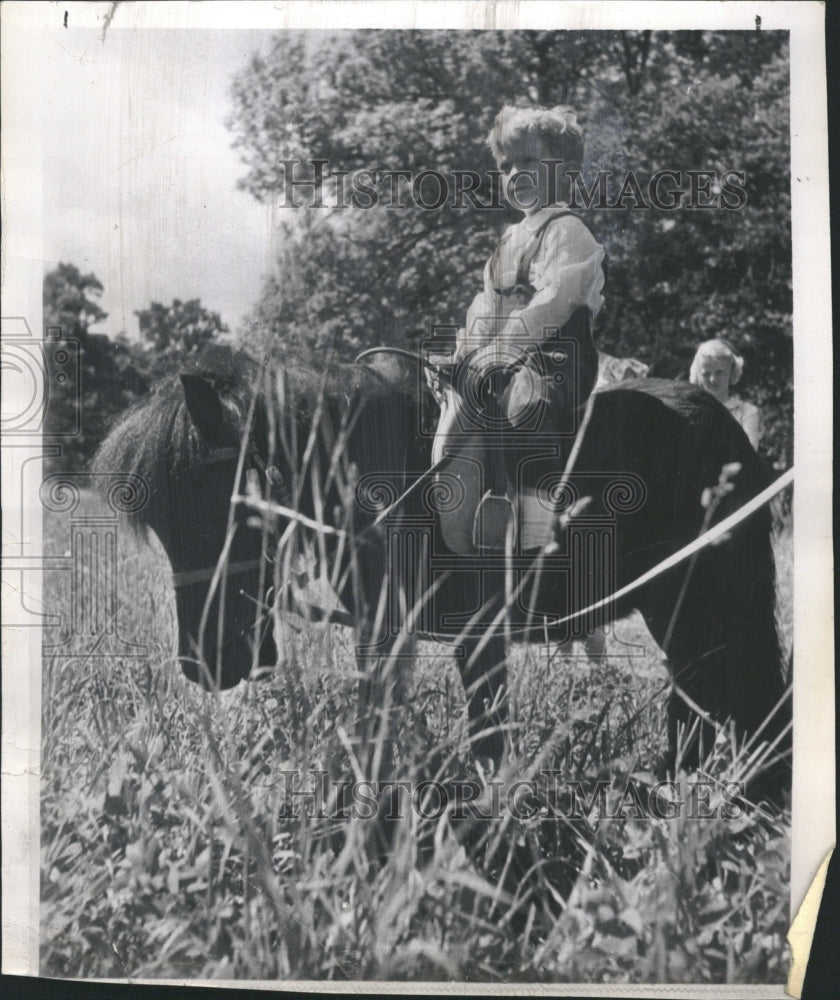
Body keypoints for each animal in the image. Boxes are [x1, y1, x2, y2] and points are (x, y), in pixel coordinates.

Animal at [95, 344, 792, 796]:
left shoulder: (470, 633)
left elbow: (482, 740)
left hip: (701, 605)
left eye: (218, 507)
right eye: (163, 527)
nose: (205, 664)